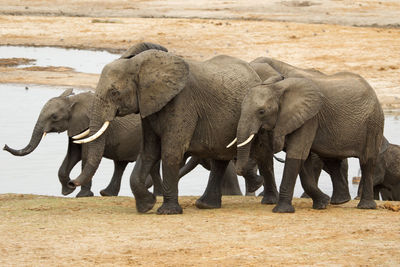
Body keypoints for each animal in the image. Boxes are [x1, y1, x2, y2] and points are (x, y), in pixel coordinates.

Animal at [70, 49, 274, 215]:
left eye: (114, 93)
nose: (72, 183)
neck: (139, 65)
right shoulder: (149, 107)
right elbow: (149, 152)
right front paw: (147, 205)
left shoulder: (183, 102)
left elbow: (171, 151)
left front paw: (167, 211)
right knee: (220, 159)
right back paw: (206, 205)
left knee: (256, 154)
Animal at [234, 71, 384, 214]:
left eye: (261, 111)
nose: (241, 170)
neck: (278, 87)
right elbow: (302, 161)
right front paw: (322, 203)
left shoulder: (310, 118)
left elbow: (296, 154)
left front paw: (281, 211)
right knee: (332, 160)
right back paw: (340, 201)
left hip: (373, 124)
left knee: (366, 162)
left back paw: (365, 207)